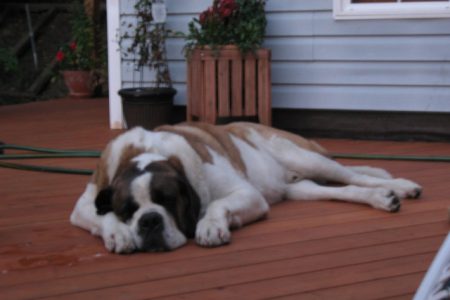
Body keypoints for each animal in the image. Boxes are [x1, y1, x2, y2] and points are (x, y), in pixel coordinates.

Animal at [70, 122, 422, 253]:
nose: (149, 221)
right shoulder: (86, 200)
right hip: (301, 187)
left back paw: (400, 186)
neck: (148, 154)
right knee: (344, 189)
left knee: (353, 174)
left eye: (168, 201)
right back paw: (381, 197)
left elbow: (215, 204)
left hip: (302, 156)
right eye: (127, 210)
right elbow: (96, 213)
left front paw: (210, 226)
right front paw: (118, 233)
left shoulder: (247, 194)